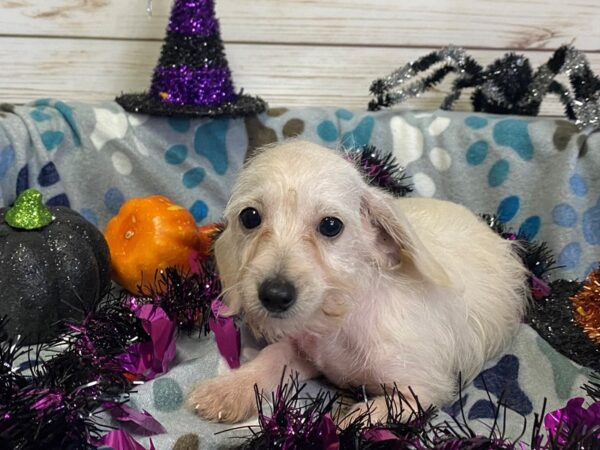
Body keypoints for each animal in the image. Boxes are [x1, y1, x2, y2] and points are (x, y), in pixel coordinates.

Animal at [186, 140, 524, 422]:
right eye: (250, 217)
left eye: (331, 225)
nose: (275, 295)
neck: (342, 318)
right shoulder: (304, 352)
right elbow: (270, 357)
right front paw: (227, 389)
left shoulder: (423, 391)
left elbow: (362, 417)